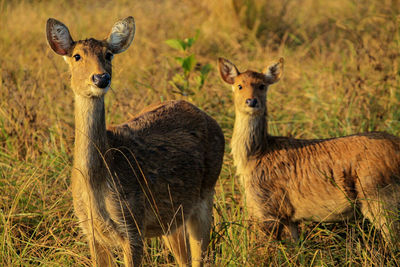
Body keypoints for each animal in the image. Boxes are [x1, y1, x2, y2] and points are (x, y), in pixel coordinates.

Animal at [219, 57, 400, 248]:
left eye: (262, 85)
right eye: (239, 85)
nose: (251, 101)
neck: (256, 155)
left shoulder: (267, 208)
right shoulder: (288, 217)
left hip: (379, 195)